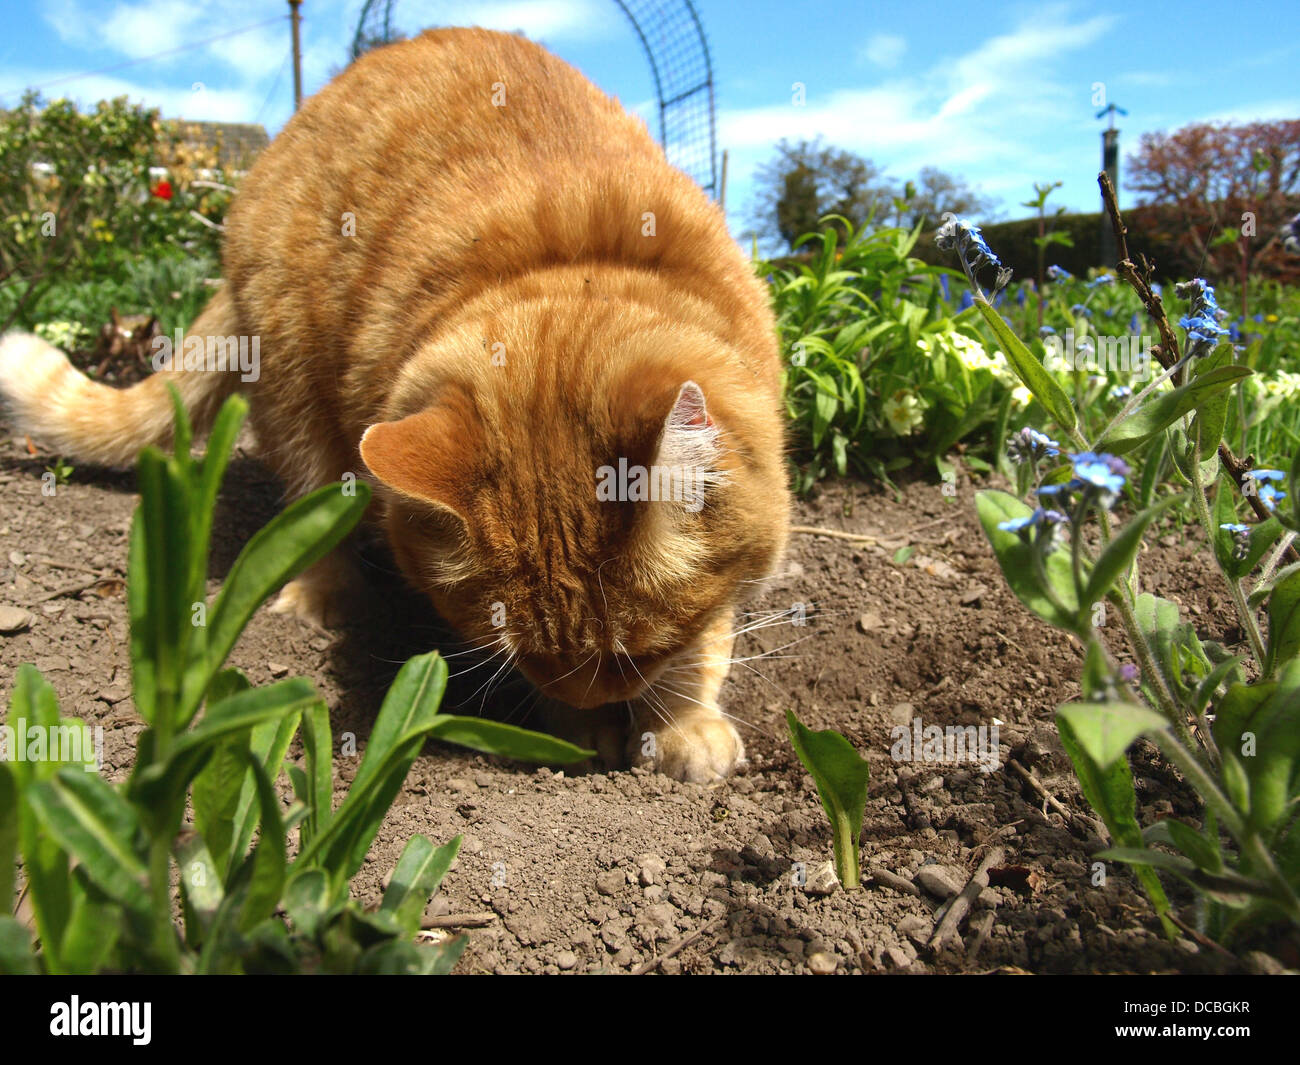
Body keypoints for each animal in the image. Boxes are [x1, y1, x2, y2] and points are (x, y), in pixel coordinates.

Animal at [0, 29, 790, 785]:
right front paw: (579, 732)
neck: (578, 261)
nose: (589, 701)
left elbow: (708, 635)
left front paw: (682, 725)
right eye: (526, 658)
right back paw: (321, 595)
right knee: (310, 498)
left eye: (639, 652)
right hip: (293, 382)